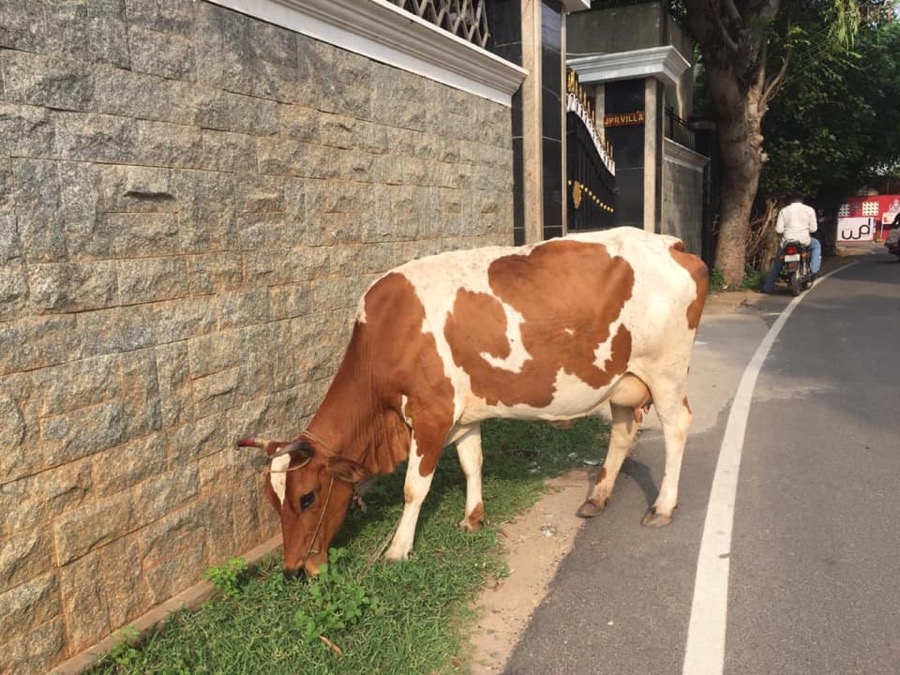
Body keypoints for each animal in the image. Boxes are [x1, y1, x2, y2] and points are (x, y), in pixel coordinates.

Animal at [238, 227, 708, 579]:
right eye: (274, 503)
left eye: (307, 497)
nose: (294, 571)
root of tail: (673, 245)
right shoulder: (462, 415)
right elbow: (471, 462)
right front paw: (472, 517)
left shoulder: (431, 414)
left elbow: (414, 487)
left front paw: (398, 549)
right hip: (622, 379)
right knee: (624, 431)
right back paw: (598, 496)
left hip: (665, 372)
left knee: (677, 427)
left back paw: (662, 506)